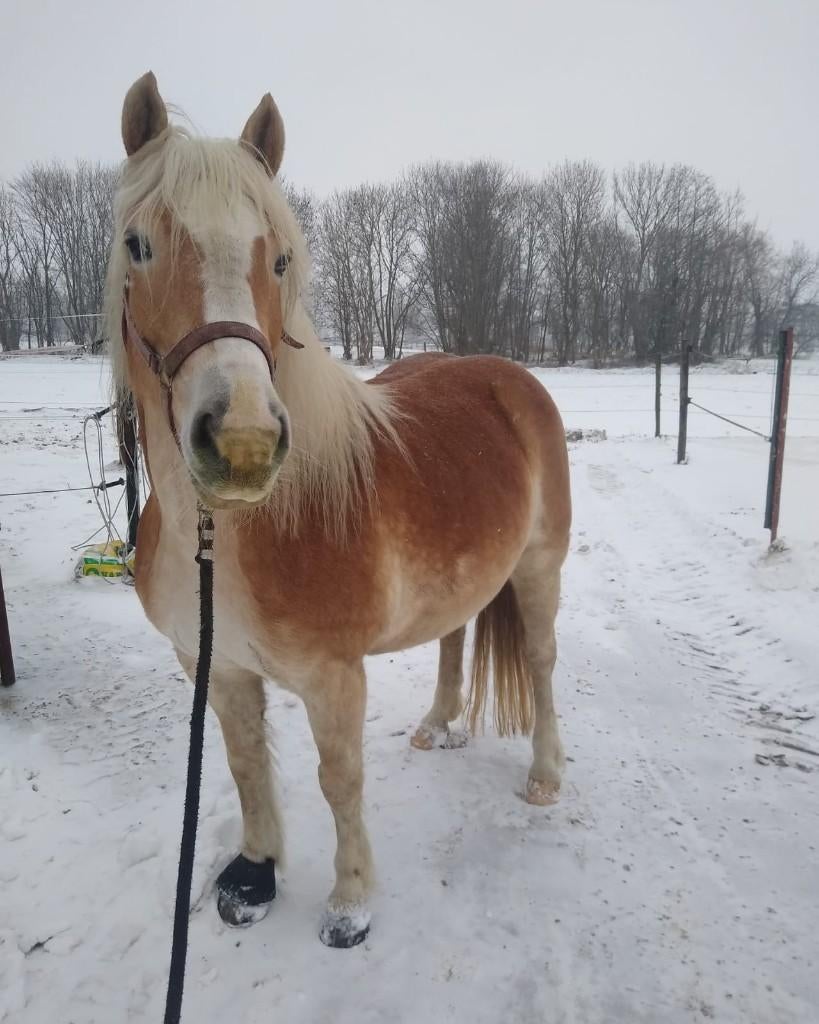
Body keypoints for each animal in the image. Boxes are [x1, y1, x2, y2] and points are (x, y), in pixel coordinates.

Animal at [105, 71, 572, 948]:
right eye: (138, 245)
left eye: (280, 257)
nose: (244, 443)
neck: (222, 534)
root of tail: (508, 376)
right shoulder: (215, 666)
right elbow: (246, 764)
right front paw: (253, 877)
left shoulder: (333, 678)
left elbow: (338, 779)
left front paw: (349, 905)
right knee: (454, 635)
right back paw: (437, 724)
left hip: (537, 570)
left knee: (539, 661)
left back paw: (544, 776)